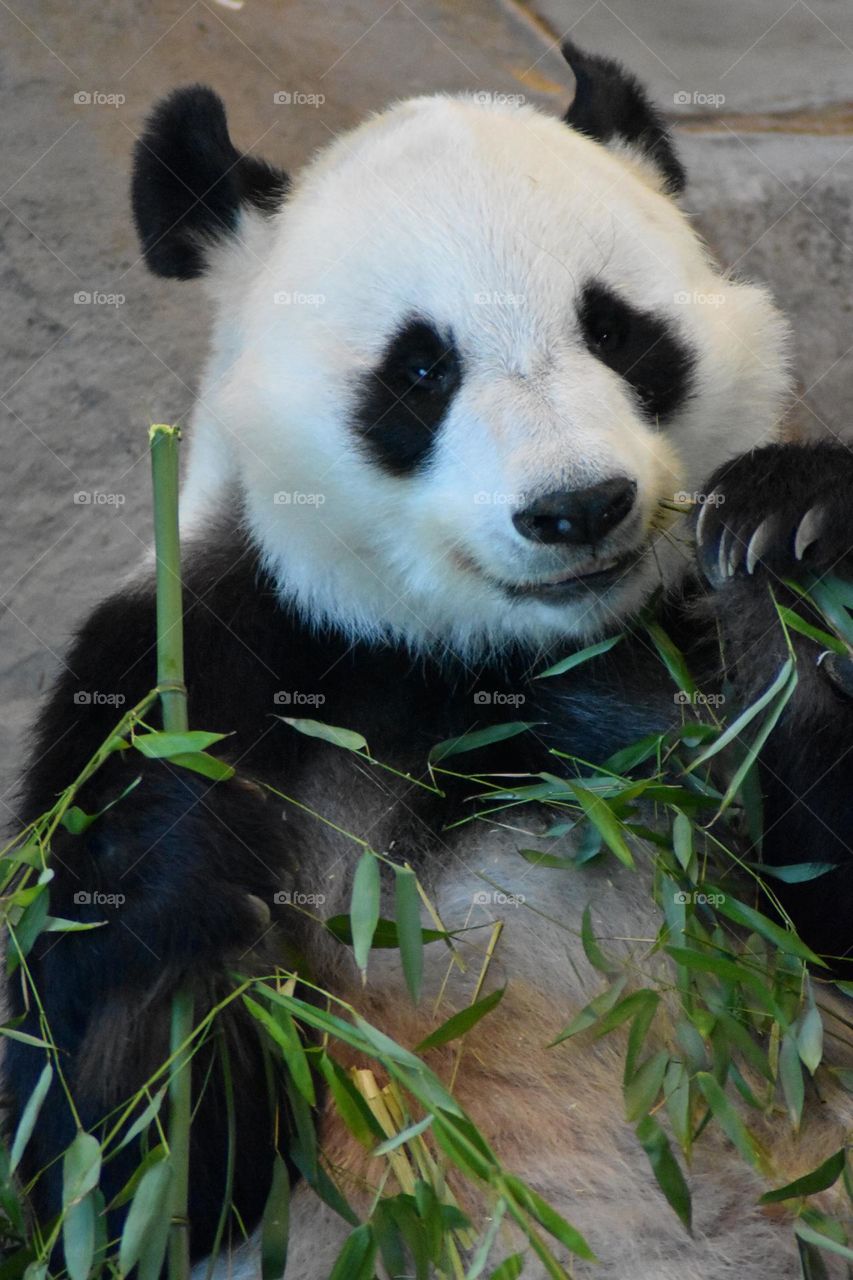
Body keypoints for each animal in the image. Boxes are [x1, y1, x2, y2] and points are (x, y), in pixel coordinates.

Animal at [8, 40, 853, 1280]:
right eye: (418, 372)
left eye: (618, 331)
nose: (575, 506)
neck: (476, 659)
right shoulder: (186, 657)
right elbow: (118, 1171)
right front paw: (183, 889)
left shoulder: (664, 673)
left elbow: (823, 907)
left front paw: (790, 546)